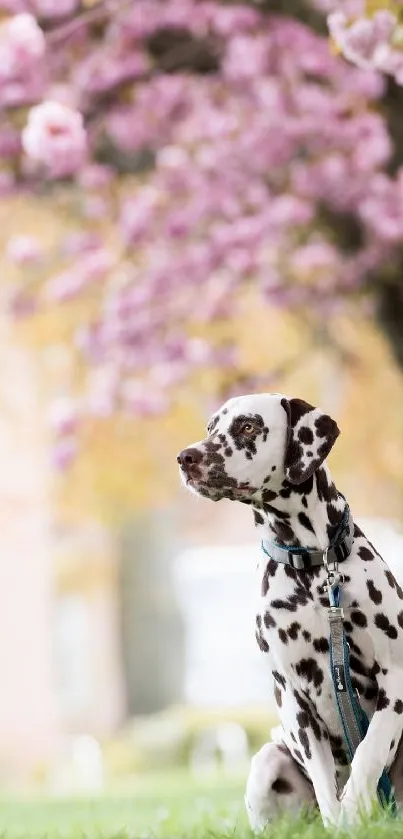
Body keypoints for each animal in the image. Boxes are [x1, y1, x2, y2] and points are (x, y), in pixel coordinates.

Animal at [178, 394, 403, 828]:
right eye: (211, 427)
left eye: (248, 426)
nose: (186, 457)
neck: (313, 567)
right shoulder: (295, 699)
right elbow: (325, 783)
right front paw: (341, 822)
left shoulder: (396, 674)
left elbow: (370, 750)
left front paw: (355, 804)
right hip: (268, 759)